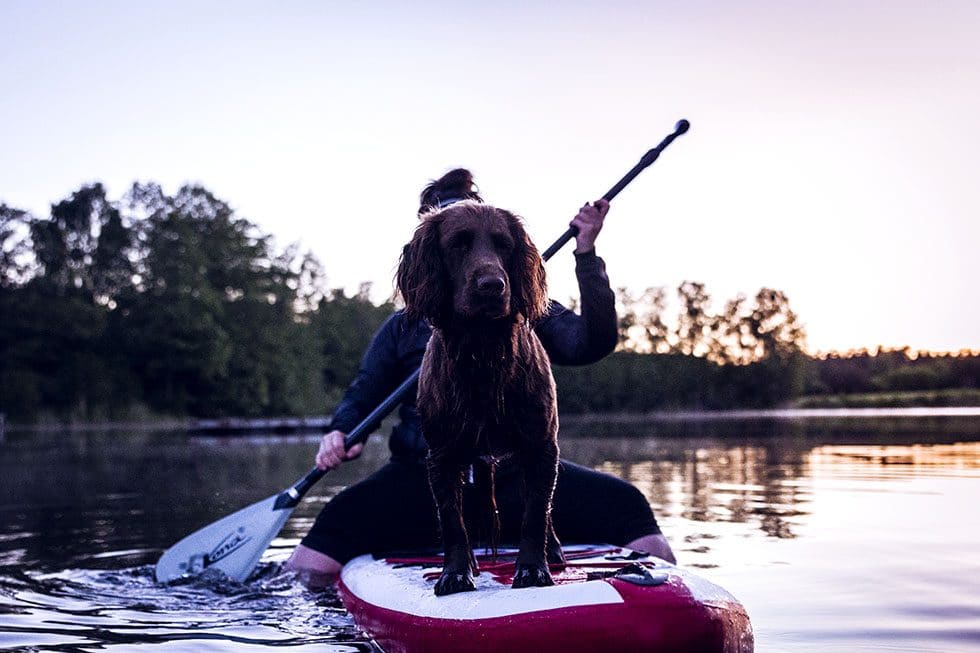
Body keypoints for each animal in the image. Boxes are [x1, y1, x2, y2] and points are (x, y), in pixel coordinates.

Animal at [396, 201, 564, 592]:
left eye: (504, 244)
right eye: (458, 244)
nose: (492, 286)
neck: (483, 351)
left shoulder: (541, 445)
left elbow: (536, 512)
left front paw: (532, 568)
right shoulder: (442, 455)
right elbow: (452, 520)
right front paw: (455, 572)